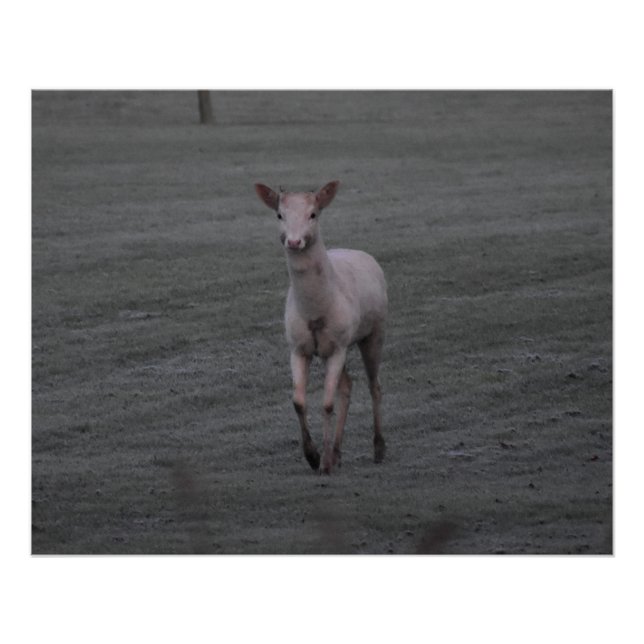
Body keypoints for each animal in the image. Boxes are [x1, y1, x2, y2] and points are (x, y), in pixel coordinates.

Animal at [254, 180, 388, 474]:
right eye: (279, 215)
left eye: (313, 214)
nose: (294, 241)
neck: (315, 313)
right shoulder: (297, 347)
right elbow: (298, 401)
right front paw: (313, 457)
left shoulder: (338, 345)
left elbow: (326, 404)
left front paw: (324, 463)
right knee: (348, 384)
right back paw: (337, 452)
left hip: (375, 330)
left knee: (374, 385)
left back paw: (379, 449)